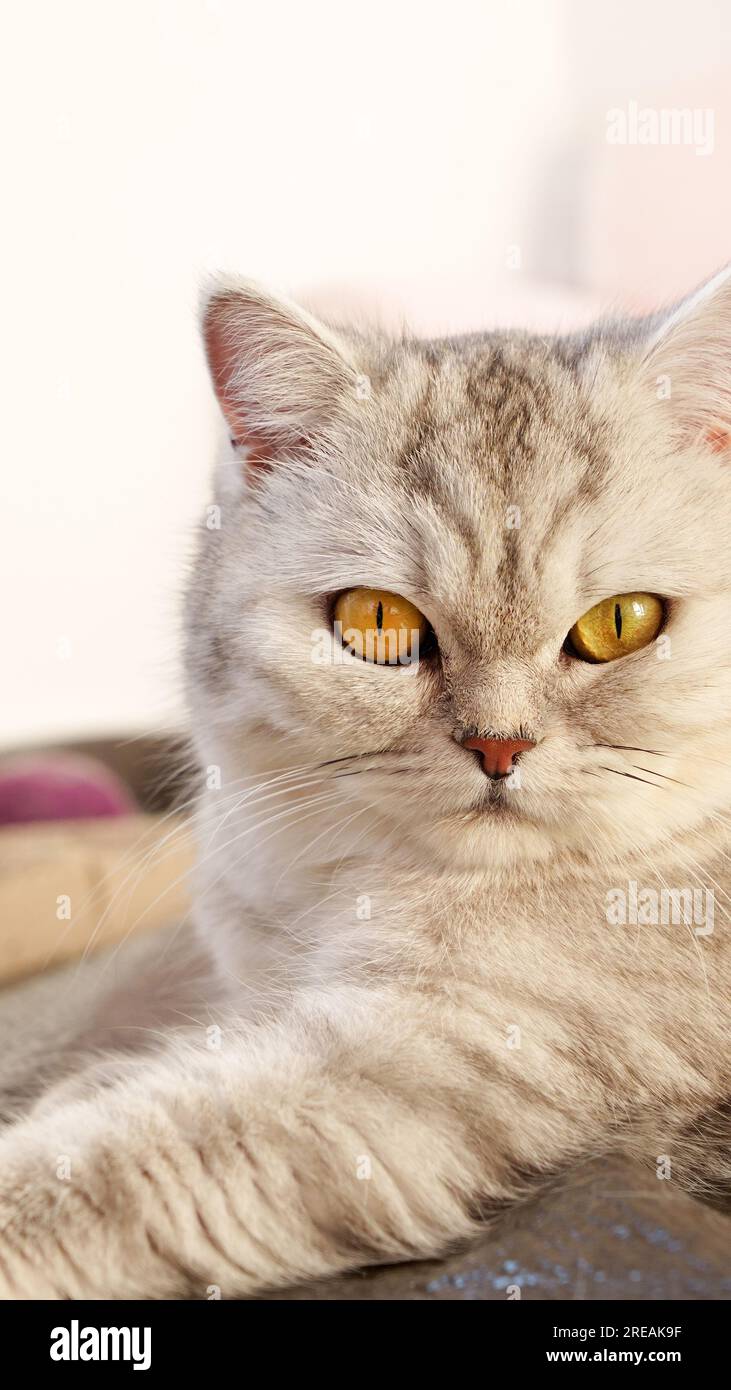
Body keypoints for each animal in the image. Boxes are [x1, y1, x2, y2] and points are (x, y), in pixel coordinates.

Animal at [1, 265, 731, 1295]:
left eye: (622, 621)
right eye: (376, 622)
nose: (498, 746)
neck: (344, 882)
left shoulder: (406, 1076)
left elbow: (100, 1165)